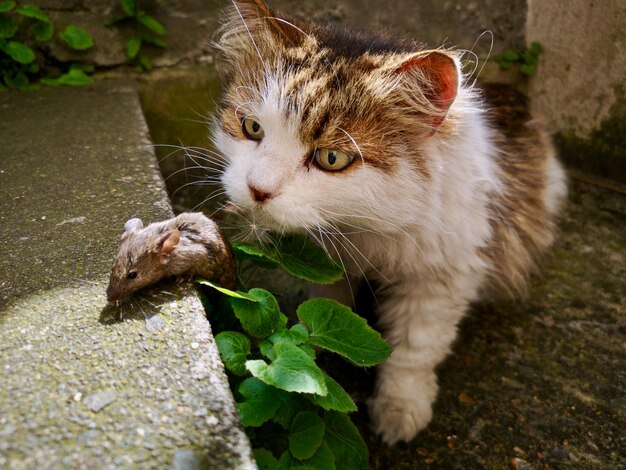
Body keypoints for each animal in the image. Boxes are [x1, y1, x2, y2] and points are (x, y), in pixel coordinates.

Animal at [210, 0, 564, 444]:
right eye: (251, 127)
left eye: (332, 158)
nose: (257, 190)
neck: (362, 228)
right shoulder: (329, 260)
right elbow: (329, 306)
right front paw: (320, 349)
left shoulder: (442, 277)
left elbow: (414, 350)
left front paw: (399, 410)